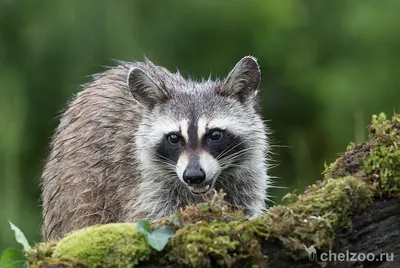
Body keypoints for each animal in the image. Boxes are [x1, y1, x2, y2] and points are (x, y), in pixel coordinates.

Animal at [40, 56, 270, 241]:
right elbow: (152, 215)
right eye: (174, 138)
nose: (193, 176)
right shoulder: (144, 182)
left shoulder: (246, 178)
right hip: (77, 186)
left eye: (214, 135)